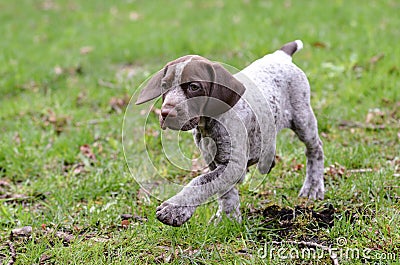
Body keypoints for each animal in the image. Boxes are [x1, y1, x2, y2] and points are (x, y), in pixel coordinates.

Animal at [136, 40, 324, 226]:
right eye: (164, 86)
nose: (166, 113)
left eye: (194, 87)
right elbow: (224, 191)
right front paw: (228, 217)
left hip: (302, 119)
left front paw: (175, 209)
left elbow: (201, 182)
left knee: (315, 149)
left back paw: (313, 187)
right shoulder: (214, 161)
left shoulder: (233, 164)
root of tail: (280, 56)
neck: (208, 124)